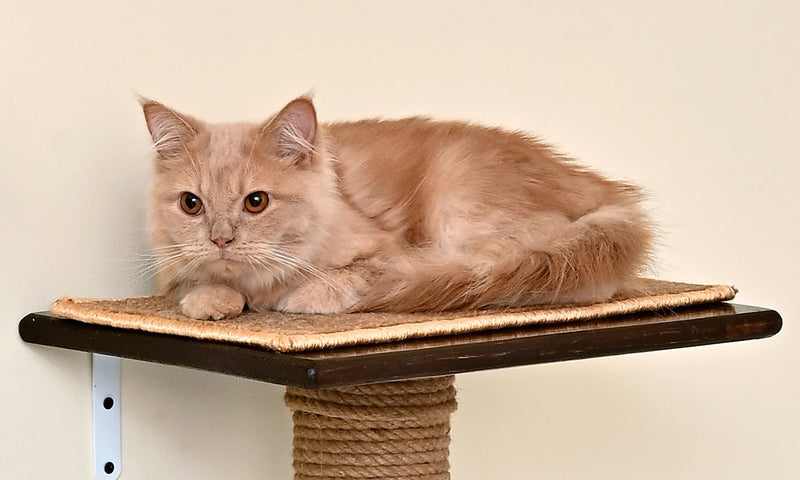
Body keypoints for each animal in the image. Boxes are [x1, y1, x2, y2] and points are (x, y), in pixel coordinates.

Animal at [142, 97, 648, 318]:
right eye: (191, 204)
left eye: (256, 202)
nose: (221, 239)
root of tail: (605, 191)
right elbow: (195, 283)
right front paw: (213, 299)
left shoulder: (384, 249)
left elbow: (343, 276)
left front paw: (295, 296)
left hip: (465, 204)